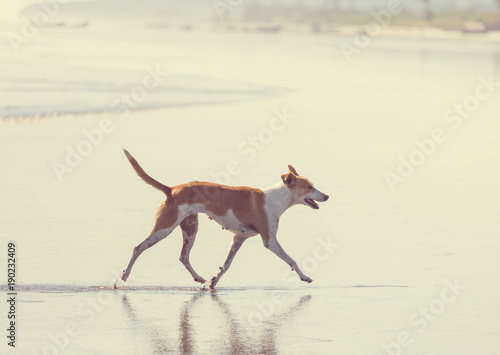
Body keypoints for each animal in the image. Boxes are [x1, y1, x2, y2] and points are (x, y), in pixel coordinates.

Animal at [117, 149, 328, 290]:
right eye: (309, 187)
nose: (326, 196)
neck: (275, 199)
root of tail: (171, 189)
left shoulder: (239, 238)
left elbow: (226, 265)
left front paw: (213, 282)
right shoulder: (270, 240)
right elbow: (291, 260)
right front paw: (305, 277)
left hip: (190, 228)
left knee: (183, 257)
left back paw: (199, 278)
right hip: (164, 228)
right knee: (138, 248)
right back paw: (124, 275)